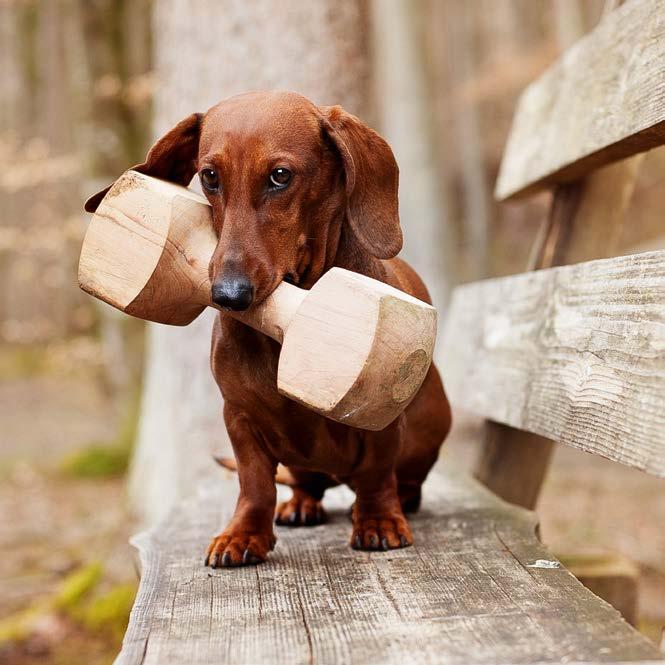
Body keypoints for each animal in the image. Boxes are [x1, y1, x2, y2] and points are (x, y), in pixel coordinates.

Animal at [85, 89, 452, 564]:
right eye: (209, 177)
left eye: (280, 176)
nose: (229, 294)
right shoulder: (238, 416)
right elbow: (254, 482)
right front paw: (242, 535)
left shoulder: (380, 419)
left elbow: (375, 472)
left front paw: (378, 520)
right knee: (305, 484)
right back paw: (300, 503)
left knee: (399, 481)